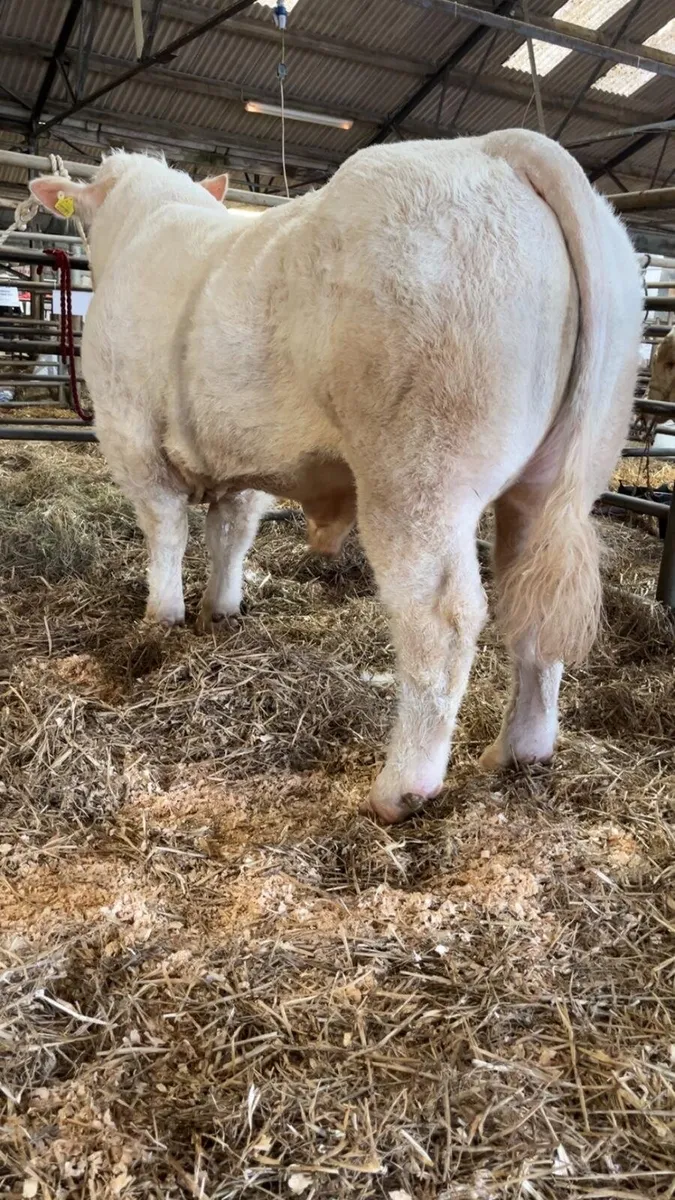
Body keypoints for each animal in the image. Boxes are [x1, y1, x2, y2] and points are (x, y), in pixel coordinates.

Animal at [30, 132, 642, 824]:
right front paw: (219, 612)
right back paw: (517, 751)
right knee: (531, 606)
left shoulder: (131, 436)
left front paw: (159, 621)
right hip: (556, 482)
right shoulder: (241, 457)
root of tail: (499, 148)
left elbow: (166, 534)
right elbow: (230, 534)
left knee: (443, 619)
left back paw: (400, 788)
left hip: (416, 475)